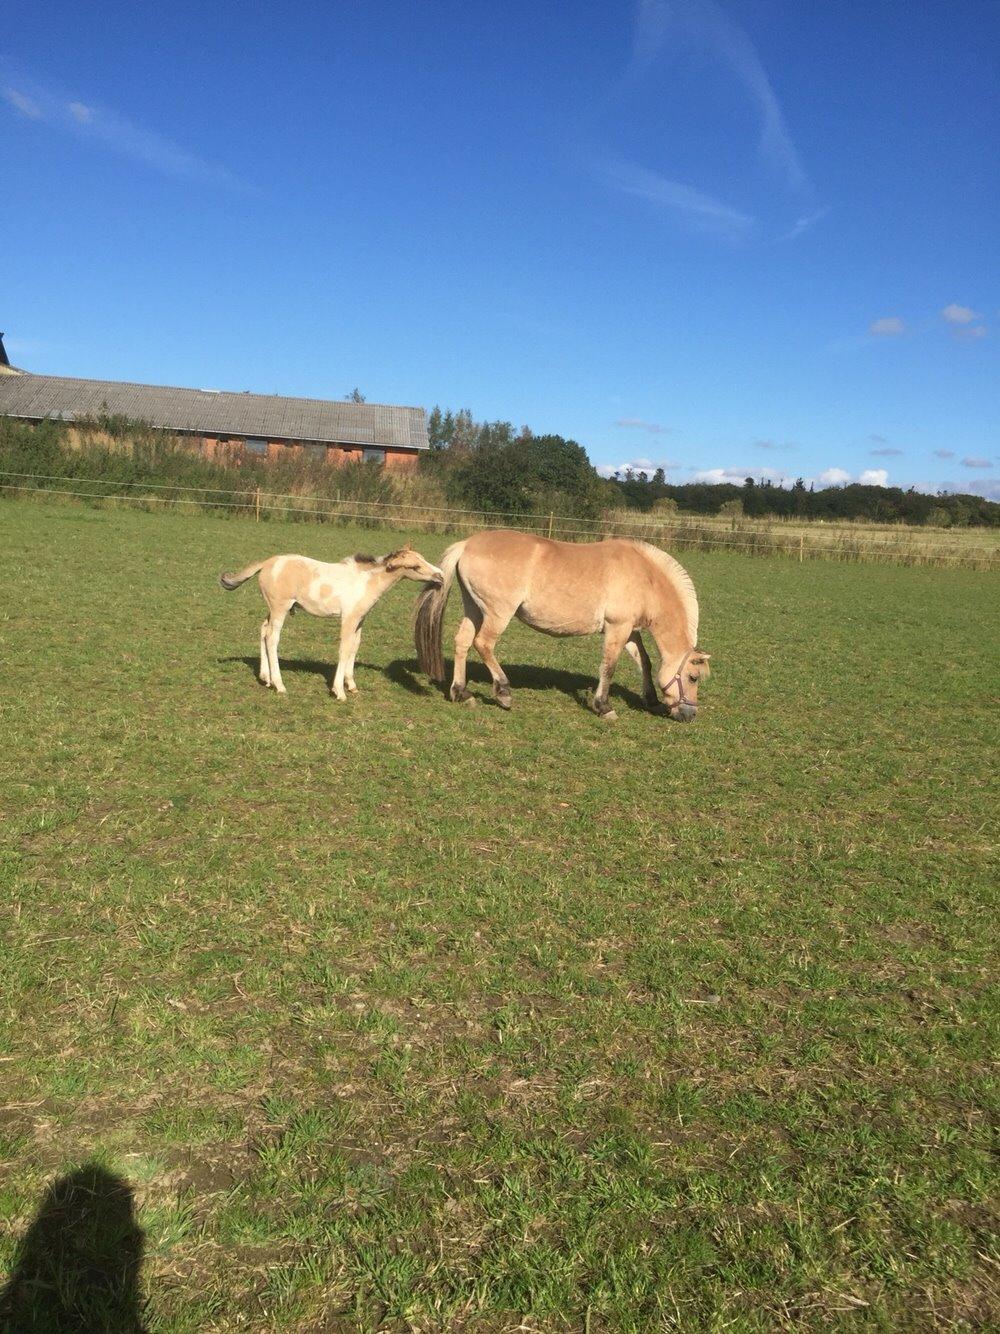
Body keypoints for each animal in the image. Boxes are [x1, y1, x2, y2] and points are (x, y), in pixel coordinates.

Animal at [226, 544, 445, 704]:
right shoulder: (348, 618)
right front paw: (339, 691)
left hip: (273, 609)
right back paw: (279, 685)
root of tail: (267, 563)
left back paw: (265, 677)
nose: (440, 575)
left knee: (263, 630)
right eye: (415, 567)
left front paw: (352, 685)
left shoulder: (359, 620)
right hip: (280, 608)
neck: (365, 581)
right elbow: (344, 649)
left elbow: (354, 647)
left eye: (423, 558)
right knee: (272, 638)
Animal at [416, 528, 714, 720]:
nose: (690, 715)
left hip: (474, 609)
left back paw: (461, 692)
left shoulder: (629, 630)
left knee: (463, 642)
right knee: (483, 644)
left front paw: (650, 699)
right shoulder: (616, 628)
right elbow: (609, 667)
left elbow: (645, 661)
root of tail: (467, 544)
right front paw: (603, 707)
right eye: (693, 677)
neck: (645, 577)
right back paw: (503, 692)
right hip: (498, 613)